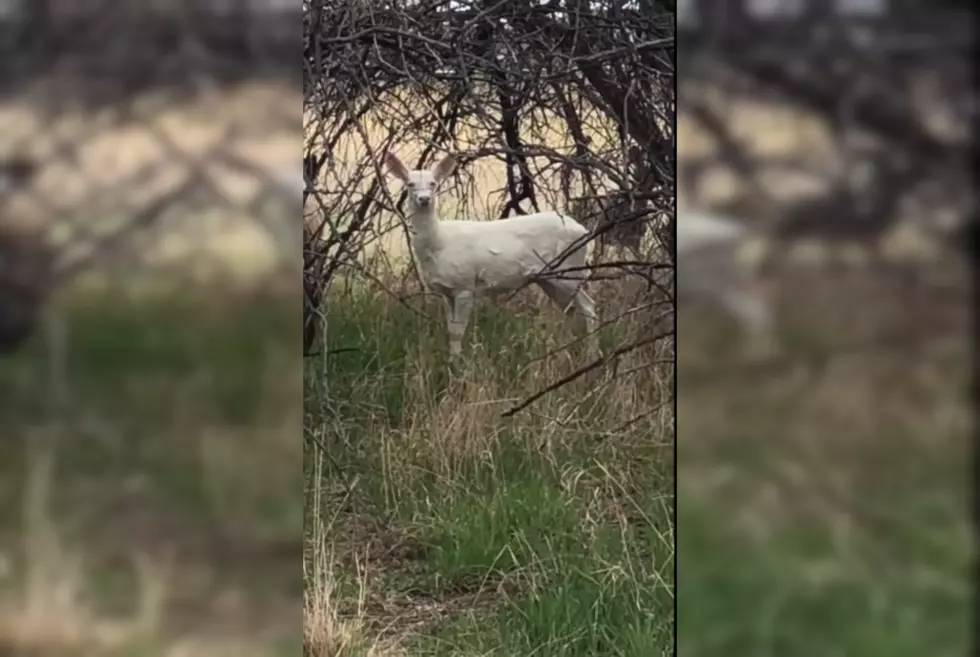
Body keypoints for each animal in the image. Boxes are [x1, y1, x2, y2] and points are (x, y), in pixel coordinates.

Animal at [382, 151, 596, 356]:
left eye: (434, 183)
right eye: (410, 184)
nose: (424, 199)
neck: (439, 244)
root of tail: (584, 231)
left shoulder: (465, 285)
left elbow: (458, 331)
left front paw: (458, 363)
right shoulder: (445, 291)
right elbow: (451, 331)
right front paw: (452, 360)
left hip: (570, 269)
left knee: (588, 307)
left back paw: (590, 354)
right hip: (549, 278)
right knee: (569, 310)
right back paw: (564, 349)